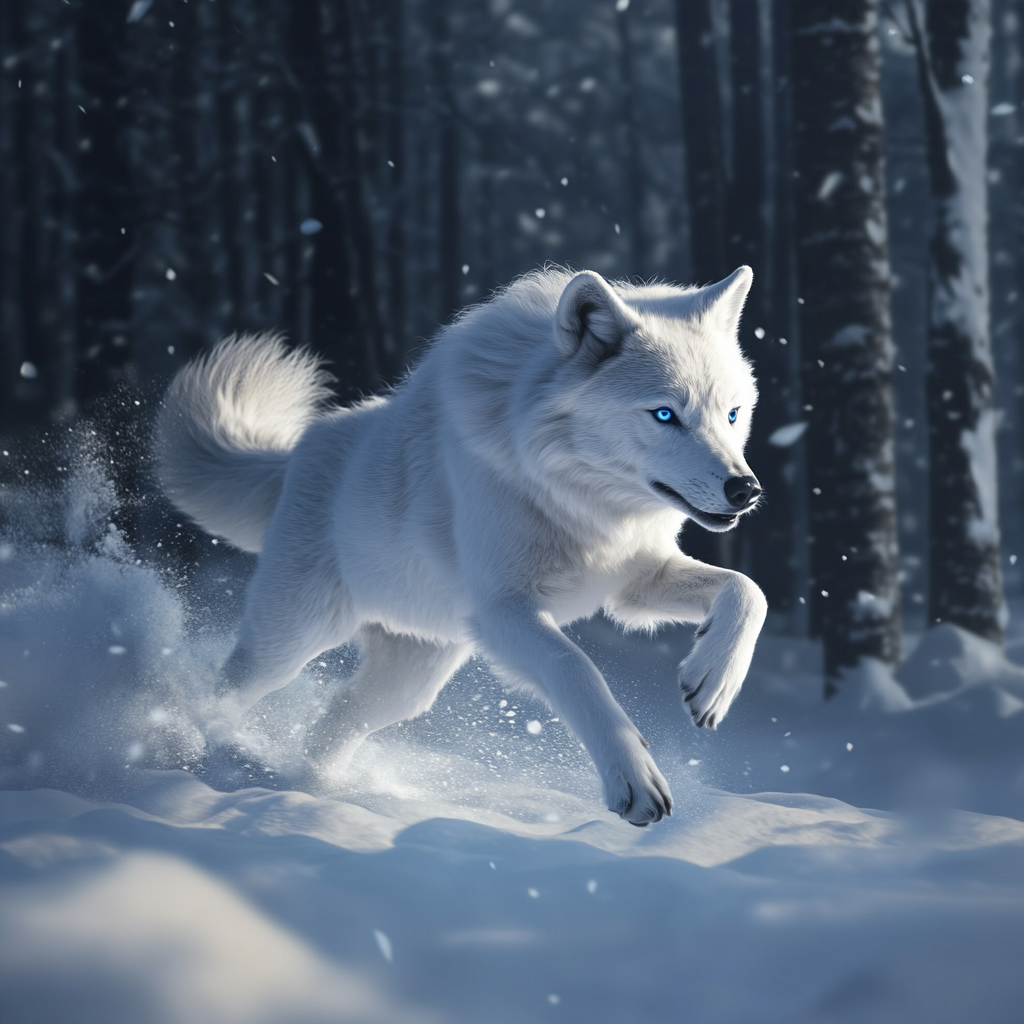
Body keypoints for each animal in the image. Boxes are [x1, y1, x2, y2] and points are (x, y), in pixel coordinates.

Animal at [155, 265, 766, 825]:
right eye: (665, 414)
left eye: (731, 414)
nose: (747, 489)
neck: (579, 500)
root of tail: (300, 450)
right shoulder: (504, 610)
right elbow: (575, 667)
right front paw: (634, 779)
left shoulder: (633, 586)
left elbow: (747, 591)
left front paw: (713, 682)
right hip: (291, 640)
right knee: (228, 687)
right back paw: (202, 750)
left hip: (409, 683)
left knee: (336, 719)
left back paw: (317, 796)